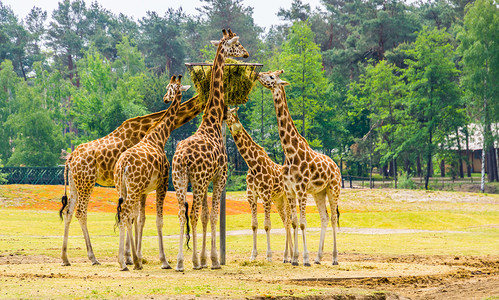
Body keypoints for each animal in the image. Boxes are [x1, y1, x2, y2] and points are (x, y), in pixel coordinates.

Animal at [59, 92, 204, 266]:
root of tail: (70, 158)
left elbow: (135, 216)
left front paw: (131, 256)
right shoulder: (136, 184)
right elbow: (133, 216)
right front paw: (131, 257)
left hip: (75, 183)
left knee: (68, 211)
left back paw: (65, 258)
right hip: (87, 182)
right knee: (81, 212)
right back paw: (93, 257)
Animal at [114, 75, 190, 272]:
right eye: (168, 87)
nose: (165, 98)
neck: (159, 137)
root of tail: (122, 165)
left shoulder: (144, 191)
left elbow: (140, 219)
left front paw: (139, 258)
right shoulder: (162, 184)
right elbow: (158, 220)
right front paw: (164, 261)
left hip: (123, 188)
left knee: (125, 214)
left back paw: (129, 260)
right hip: (133, 188)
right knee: (125, 213)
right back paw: (123, 262)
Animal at [173, 28, 249, 272]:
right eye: (237, 44)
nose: (246, 54)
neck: (213, 121)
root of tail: (182, 157)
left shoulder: (206, 180)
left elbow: (207, 216)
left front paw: (205, 258)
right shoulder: (219, 177)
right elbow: (214, 215)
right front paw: (213, 260)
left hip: (179, 179)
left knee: (182, 214)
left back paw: (179, 262)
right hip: (196, 179)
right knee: (193, 213)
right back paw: (193, 262)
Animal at [226, 107, 292, 262]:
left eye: (229, 112)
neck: (253, 165)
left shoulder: (266, 195)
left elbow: (267, 225)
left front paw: (268, 256)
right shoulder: (251, 196)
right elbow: (254, 225)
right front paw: (253, 255)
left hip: (286, 197)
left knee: (288, 222)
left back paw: (288, 256)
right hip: (278, 199)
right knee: (285, 222)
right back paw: (288, 256)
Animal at [258, 69, 344, 264]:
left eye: (272, 76)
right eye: (268, 73)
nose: (258, 74)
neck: (290, 152)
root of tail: (337, 166)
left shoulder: (301, 189)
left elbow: (304, 223)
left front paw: (304, 259)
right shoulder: (290, 190)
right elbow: (295, 222)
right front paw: (295, 258)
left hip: (333, 188)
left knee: (334, 218)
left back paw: (334, 258)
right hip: (319, 192)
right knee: (324, 217)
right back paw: (318, 258)